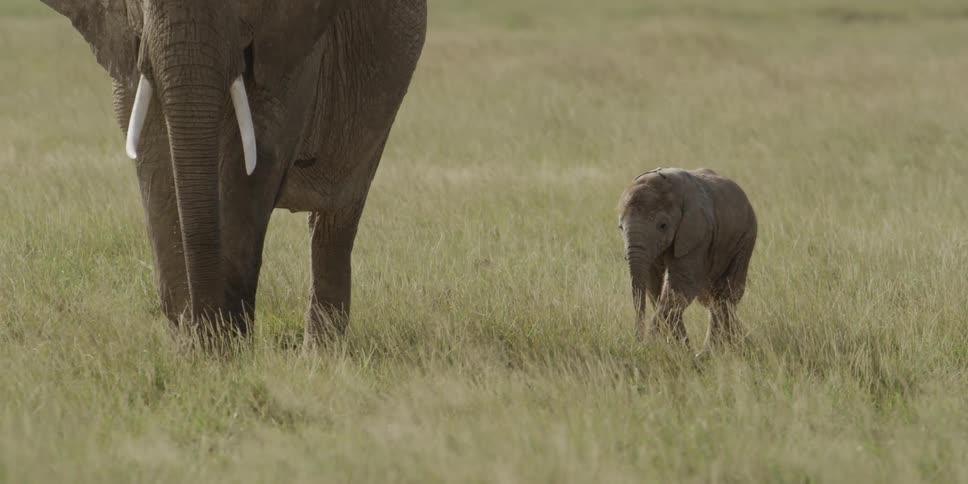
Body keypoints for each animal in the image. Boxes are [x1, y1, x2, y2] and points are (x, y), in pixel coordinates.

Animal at [39, 0, 427, 346]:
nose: (203, 331)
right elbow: (154, 159)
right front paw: (192, 350)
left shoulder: (291, 47)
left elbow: (252, 160)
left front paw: (223, 349)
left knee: (336, 219)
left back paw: (322, 358)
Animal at [617, 167, 757, 354]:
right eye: (620, 227)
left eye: (662, 226)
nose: (638, 340)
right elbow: (655, 289)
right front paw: (681, 347)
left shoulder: (697, 235)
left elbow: (680, 287)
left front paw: (653, 345)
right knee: (713, 299)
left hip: (745, 239)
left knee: (726, 295)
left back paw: (713, 351)